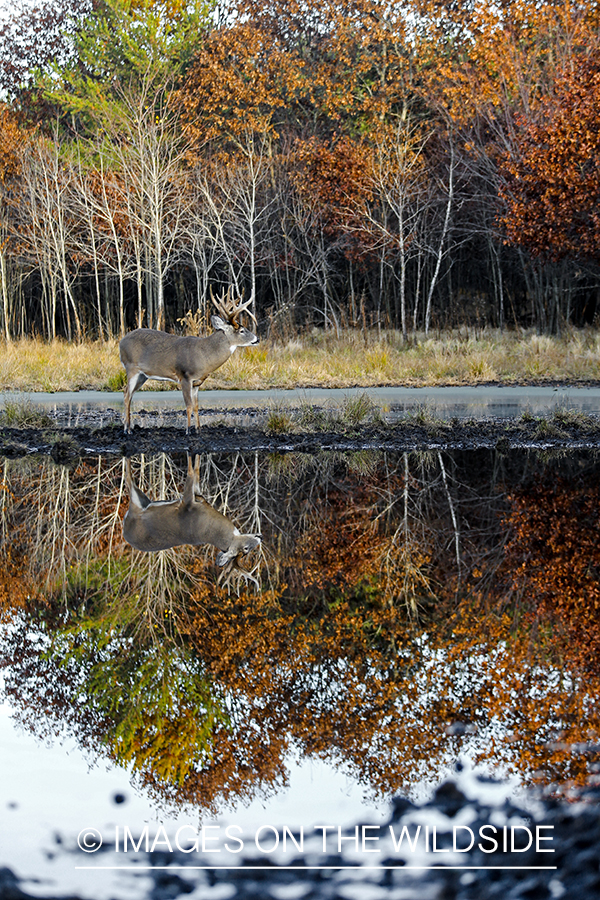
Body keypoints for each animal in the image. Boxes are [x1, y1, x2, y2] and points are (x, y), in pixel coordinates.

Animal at [119, 286, 258, 430]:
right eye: (242, 331)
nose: (256, 339)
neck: (204, 354)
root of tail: (121, 342)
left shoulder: (197, 382)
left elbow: (196, 406)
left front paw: (198, 429)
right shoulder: (185, 376)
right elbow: (189, 406)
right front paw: (188, 430)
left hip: (143, 375)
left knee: (128, 394)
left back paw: (129, 427)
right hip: (131, 368)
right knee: (126, 394)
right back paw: (127, 429)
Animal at [123, 458, 262, 592]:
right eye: (246, 549)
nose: (260, 537)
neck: (209, 526)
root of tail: (125, 531)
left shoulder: (188, 502)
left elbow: (191, 471)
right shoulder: (195, 497)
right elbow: (196, 470)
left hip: (137, 504)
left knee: (129, 480)